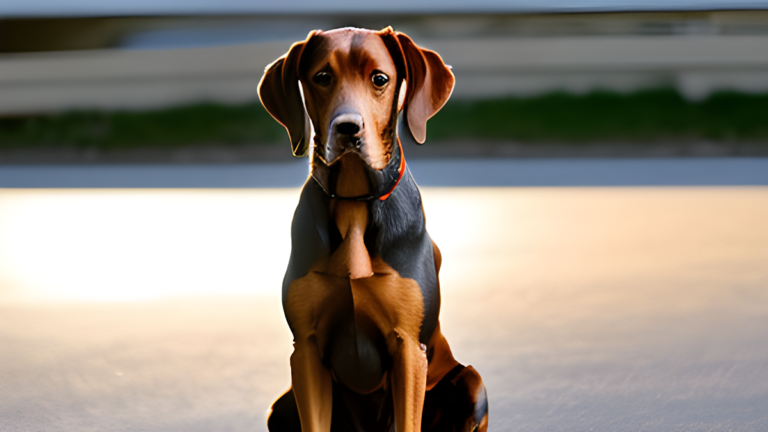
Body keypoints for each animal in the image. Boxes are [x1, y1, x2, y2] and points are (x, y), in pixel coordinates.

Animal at [256, 27, 486, 432]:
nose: (348, 128)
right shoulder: (306, 351)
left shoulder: (409, 347)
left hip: (471, 381)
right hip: (280, 406)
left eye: (379, 79)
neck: (353, 201)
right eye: (321, 77)